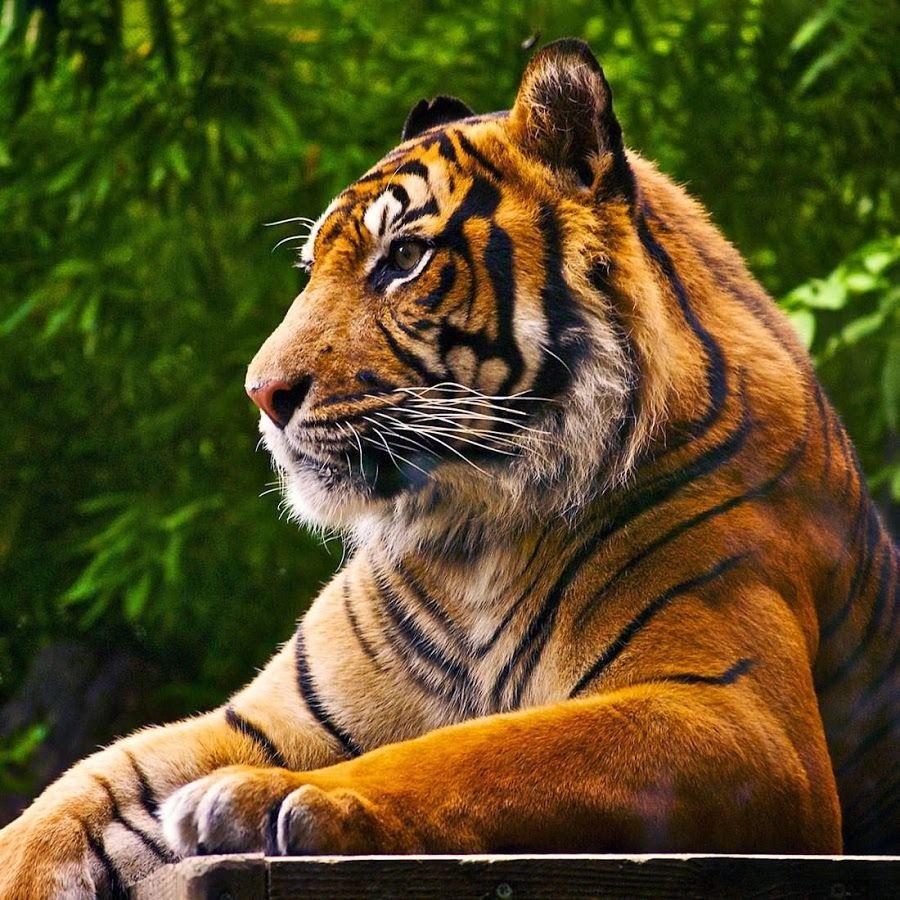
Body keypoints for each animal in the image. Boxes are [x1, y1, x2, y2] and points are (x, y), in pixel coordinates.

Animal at [1, 37, 897, 898]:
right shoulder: (265, 719)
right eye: (313, 269)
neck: (474, 536)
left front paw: (274, 799)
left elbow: (487, 750)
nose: (262, 393)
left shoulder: (740, 717)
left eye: (402, 258)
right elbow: (77, 789)